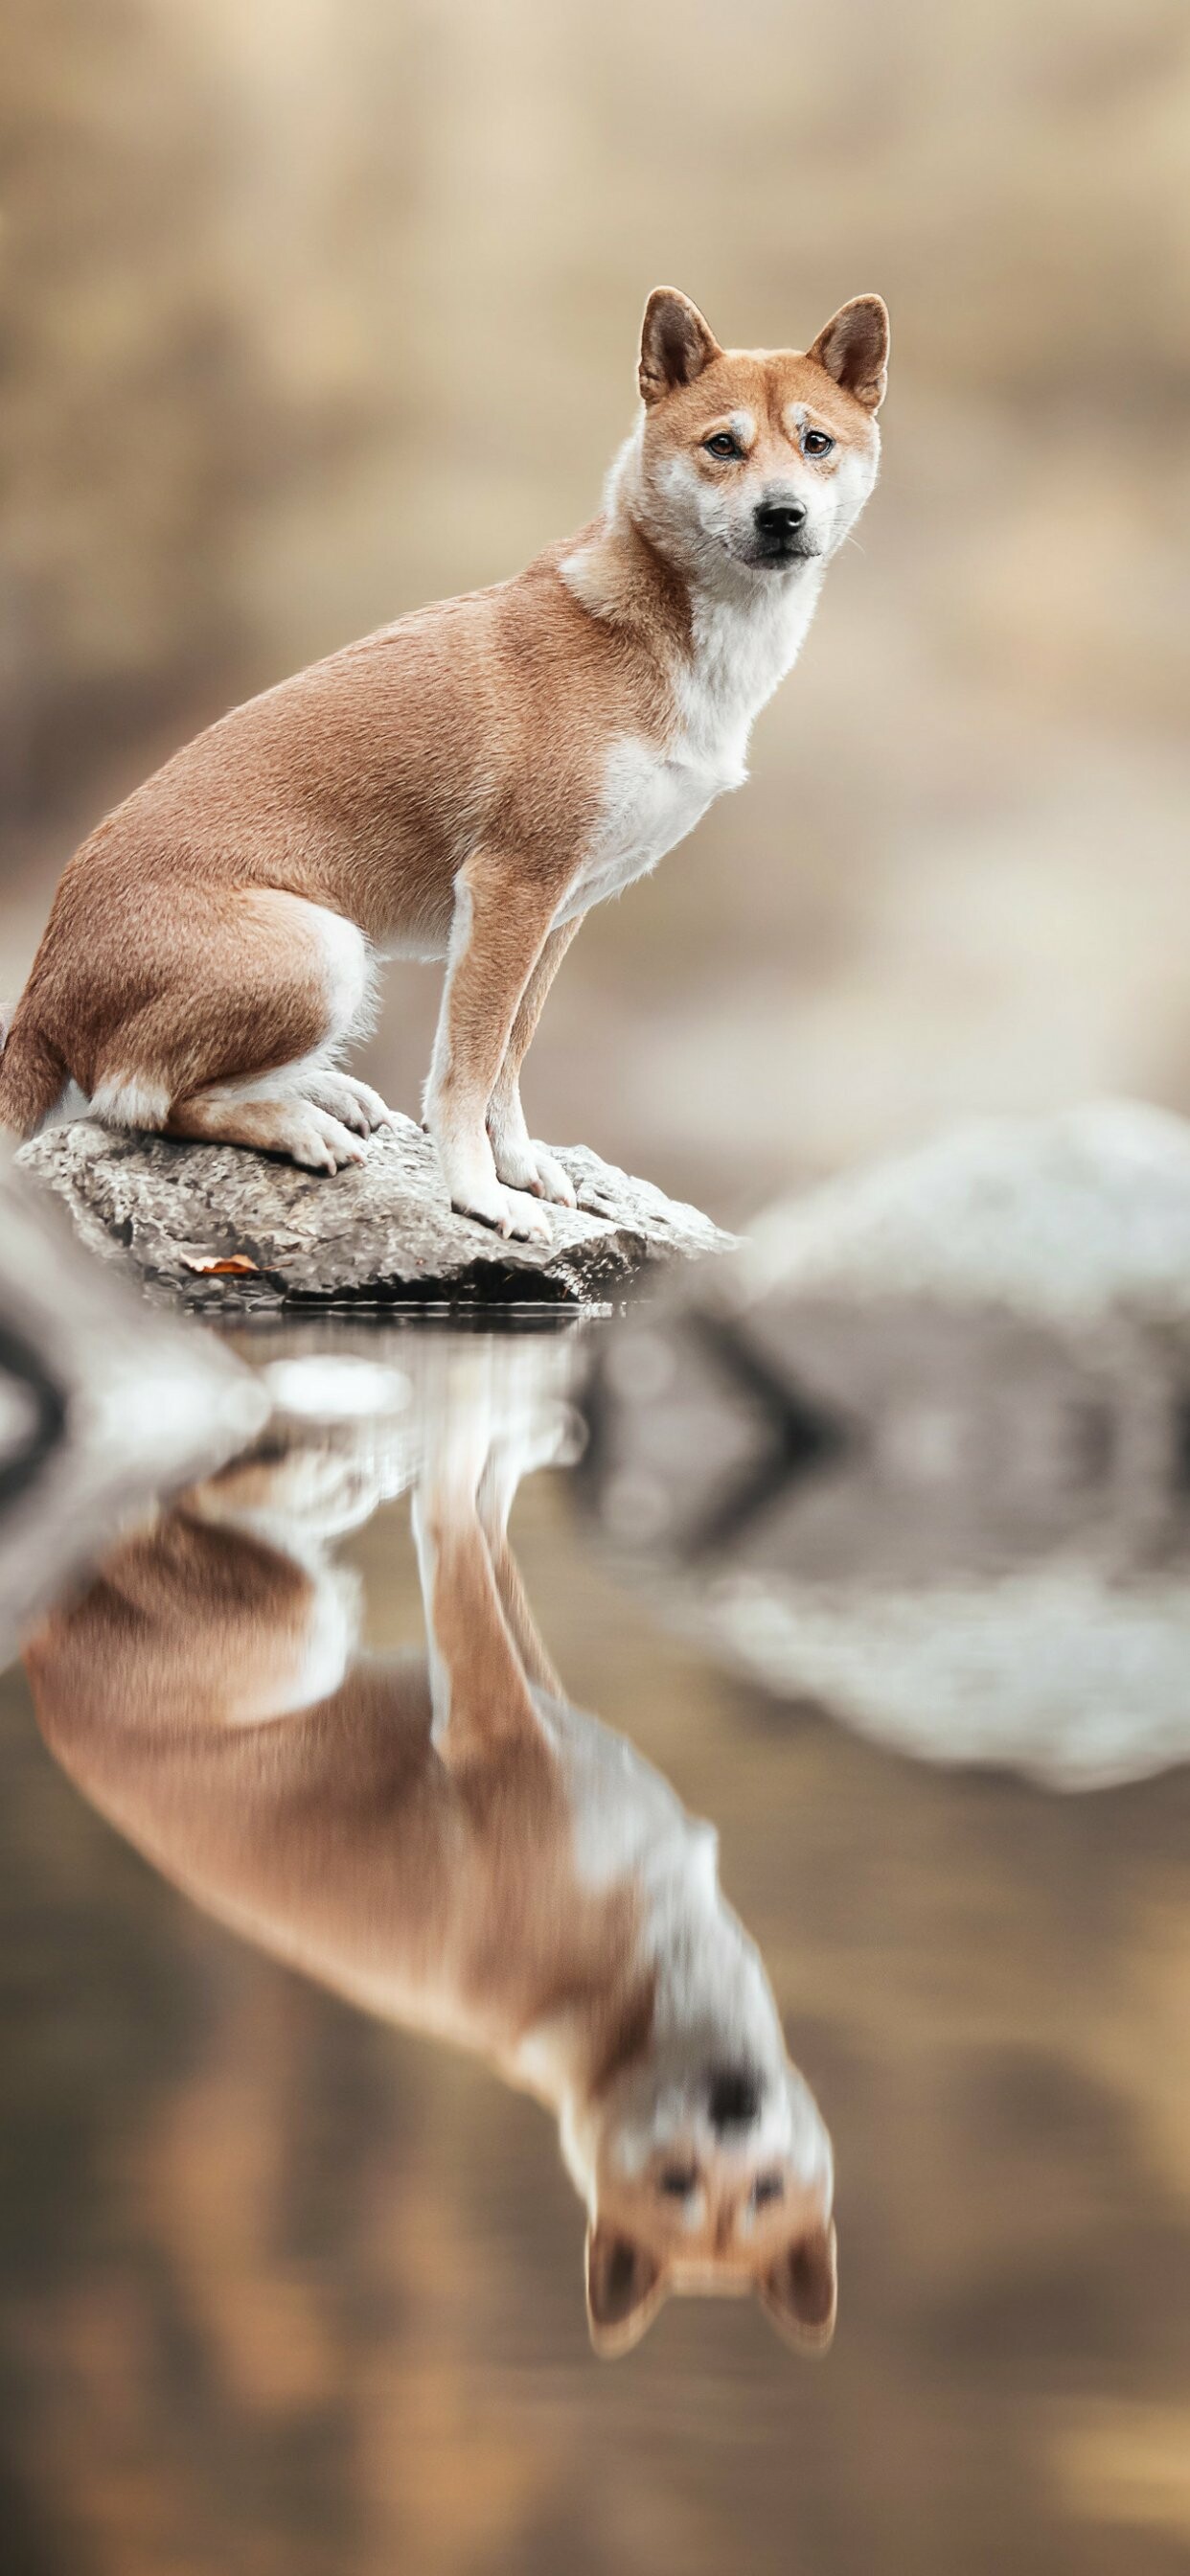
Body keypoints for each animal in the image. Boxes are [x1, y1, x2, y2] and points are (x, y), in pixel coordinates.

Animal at [0, 287, 885, 1241]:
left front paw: (519, 1166)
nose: (783, 516)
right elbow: (465, 1069)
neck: (673, 640)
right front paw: (477, 1194)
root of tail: (38, 990)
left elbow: (508, 1058)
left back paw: (325, 1095)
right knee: (145, 1098)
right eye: (723, 444)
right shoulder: (509, 890)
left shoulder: (557, 912)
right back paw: (300, 1125)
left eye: (816, 442)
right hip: (323, 949)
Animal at [20, 1349, 835, 2359]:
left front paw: (508, 1432)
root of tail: (40, 1661)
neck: (621, 2002)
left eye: (766, 2193)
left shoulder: (535, 1706)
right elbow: (458, 1520)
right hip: (296, 1619)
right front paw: (473, 1420)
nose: (733, 2111)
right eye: (678, 2184)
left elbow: (487, 1527)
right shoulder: (494, 1728)